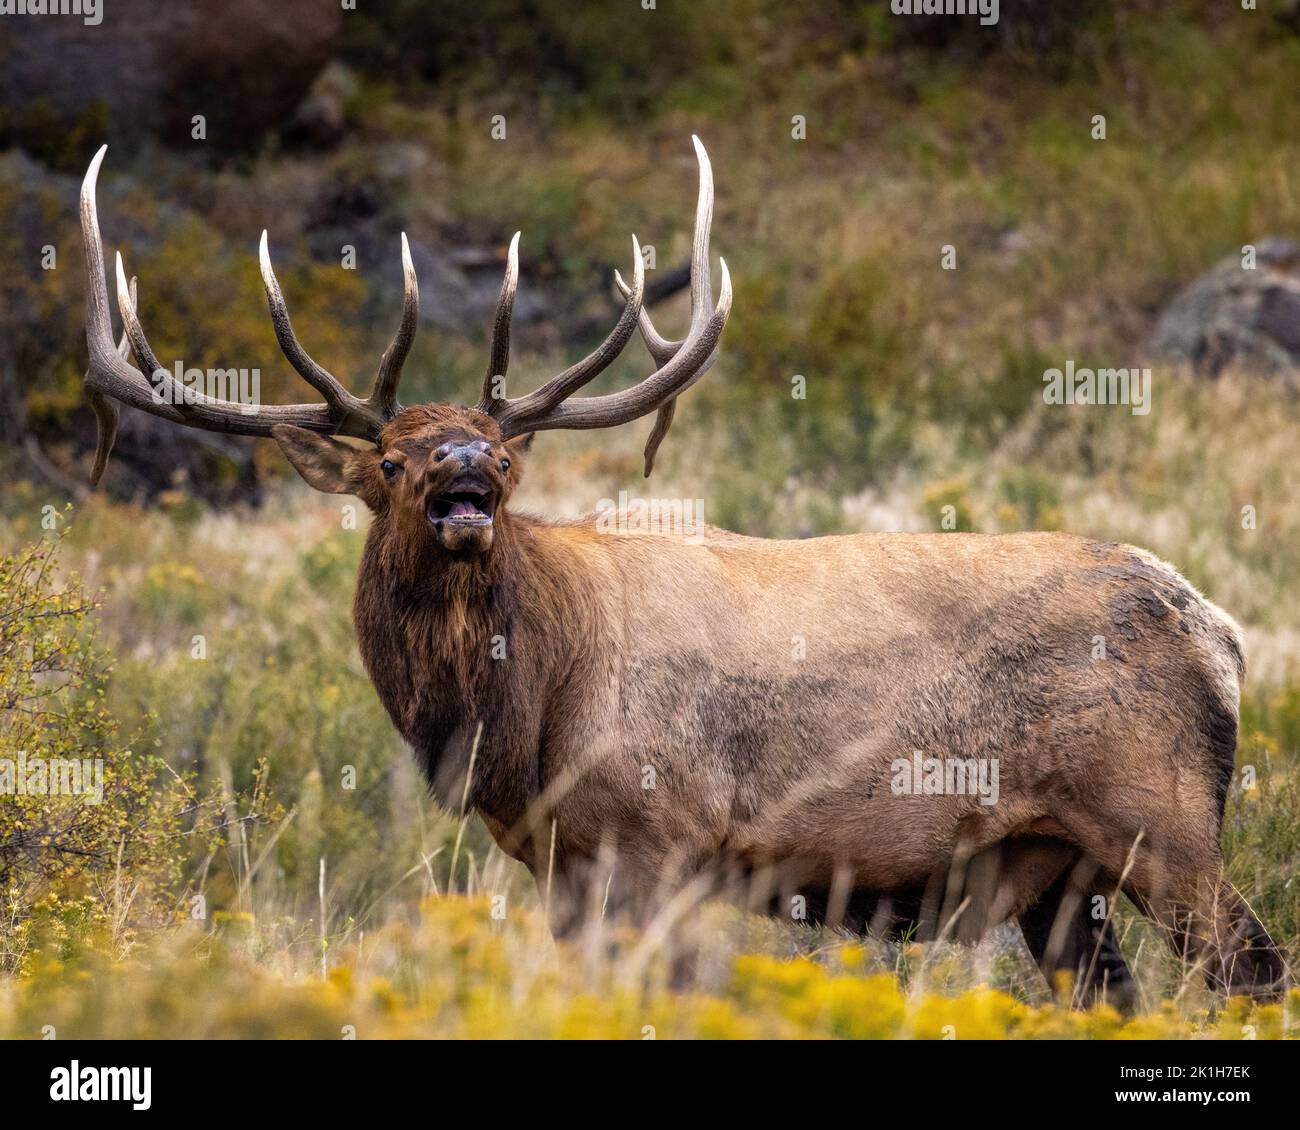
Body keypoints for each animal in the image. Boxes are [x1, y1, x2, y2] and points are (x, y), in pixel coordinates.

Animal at [79, 138, 1287, 1010]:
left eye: (507, 456)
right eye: (388, 459)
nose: (464, 470)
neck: (521, 717)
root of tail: (1221, 630)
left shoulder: (659, 837)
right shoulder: (559, 862)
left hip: (1162, 819)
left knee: (1250, 966)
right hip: (1057, 870)